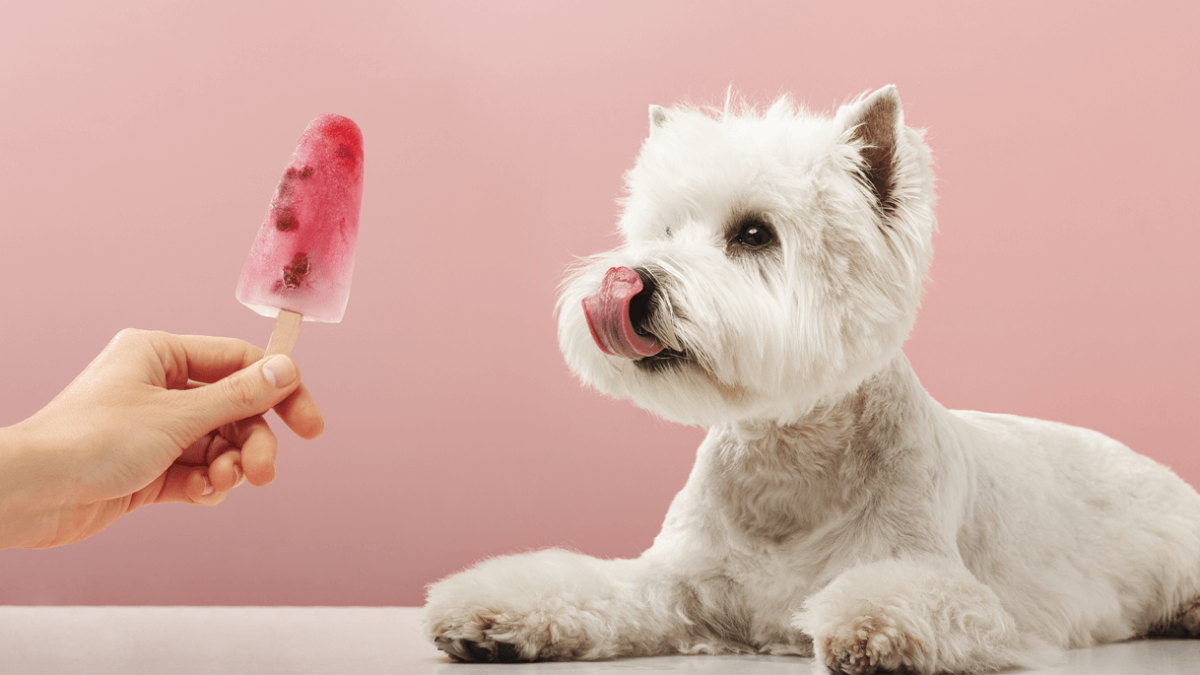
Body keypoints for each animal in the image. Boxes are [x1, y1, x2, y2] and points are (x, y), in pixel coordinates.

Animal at [420, 86, 1200, 667]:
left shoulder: (944, 578)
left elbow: (907, 598)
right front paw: (490, 613)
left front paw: (870, 631)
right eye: (663, 230)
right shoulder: (675, 579)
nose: (631, 283)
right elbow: (591, 583)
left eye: (754, 234)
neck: (787, 461)